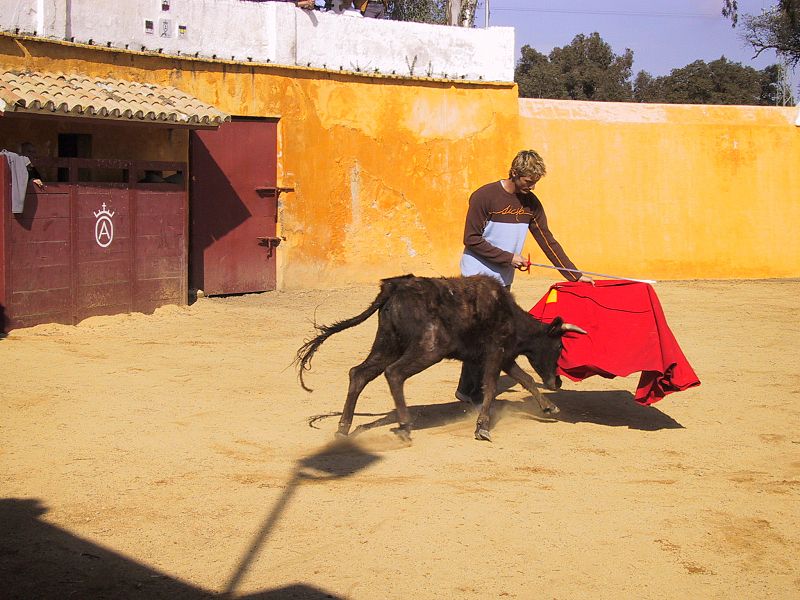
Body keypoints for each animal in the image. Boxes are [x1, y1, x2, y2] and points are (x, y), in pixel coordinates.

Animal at [296, 276, 584, 440]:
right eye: (559, 346)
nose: (557, 382)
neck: (509, 314)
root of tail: (393, 288)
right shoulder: (495, 353)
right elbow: (491, 387)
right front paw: (482, 427)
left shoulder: (504, 357)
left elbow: (526, 379)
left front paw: (549, 406)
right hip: (430, 348)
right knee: (394, 373)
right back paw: (404, 425)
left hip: (387, 344)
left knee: (359, 373)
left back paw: (343, 428)